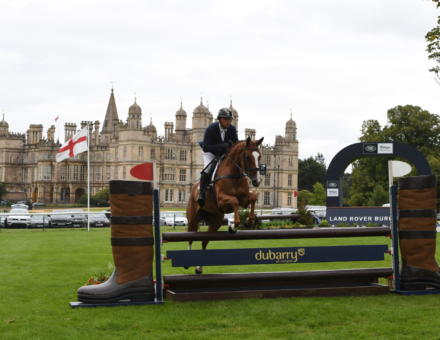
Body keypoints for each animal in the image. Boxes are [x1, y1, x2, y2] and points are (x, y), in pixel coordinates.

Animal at [186, 136, 264, 274]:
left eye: (259, 156)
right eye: (247, 157)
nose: (256, 181)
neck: (234, 174)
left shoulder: (244, 199)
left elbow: (253, 198)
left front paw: (248, 221)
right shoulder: (222, 201)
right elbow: (234, 201)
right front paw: (234, 225)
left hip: (215, 221)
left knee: (205, 241)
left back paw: (199, 268)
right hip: (193, 218)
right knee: (190, 236)